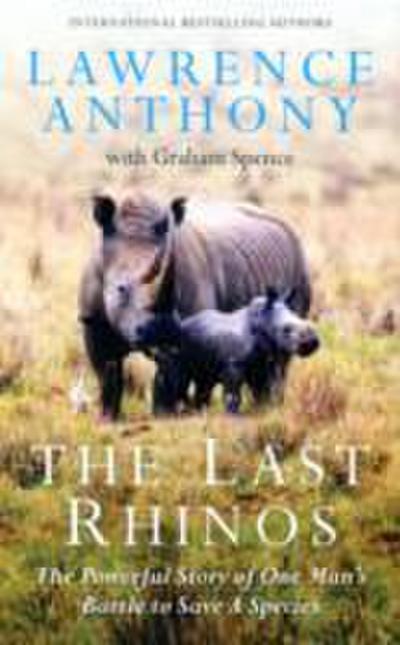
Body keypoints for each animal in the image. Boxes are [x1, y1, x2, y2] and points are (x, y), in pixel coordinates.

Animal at [79, 192, 312, 418]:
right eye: (121, 289)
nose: (157, 331)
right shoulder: (93, 322)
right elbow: (107, 375)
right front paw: (108, 418)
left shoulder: (180, 335)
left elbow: (167, 379)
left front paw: (164, 416)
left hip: (298, 268)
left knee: (281, 356)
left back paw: (269, 408)